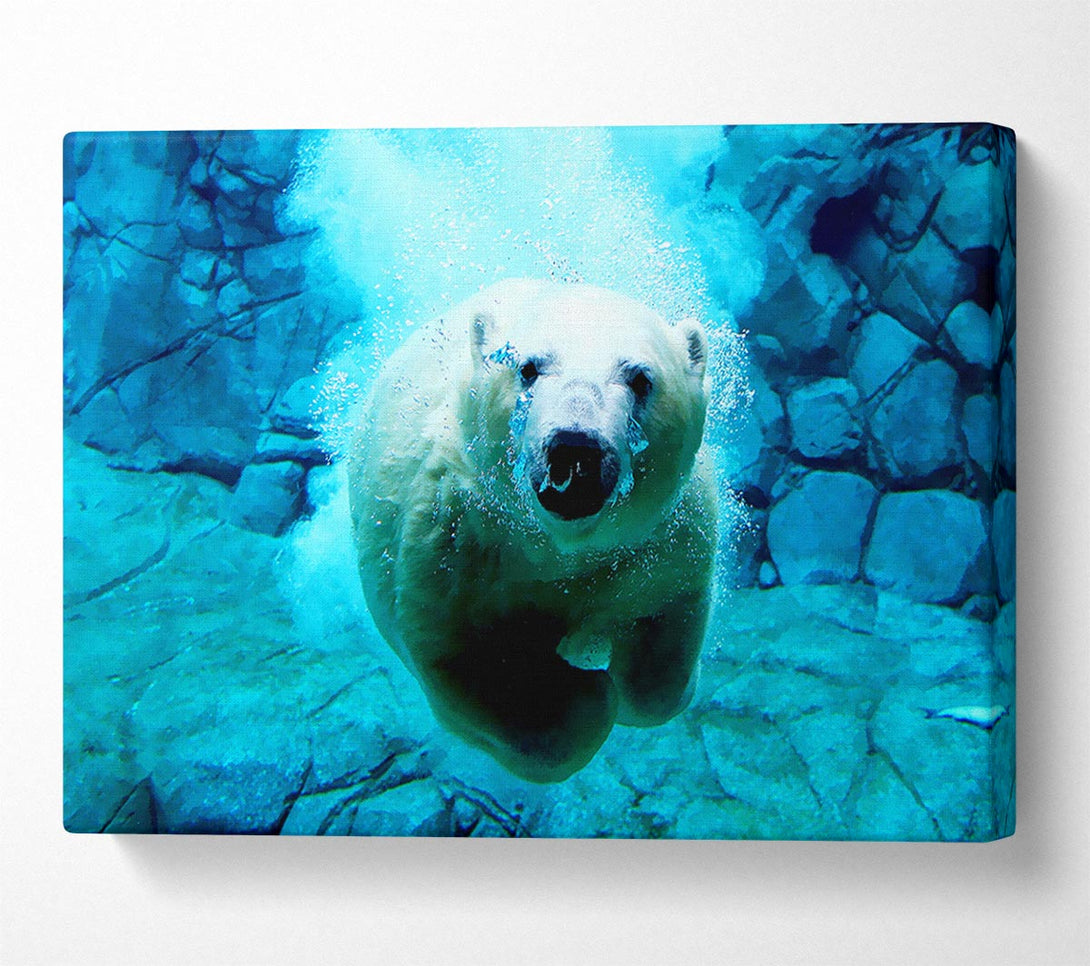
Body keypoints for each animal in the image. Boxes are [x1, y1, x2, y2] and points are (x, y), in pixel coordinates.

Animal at [348, 279, 717, 782]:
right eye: (528, 368)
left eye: (641, 378)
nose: (575, 448)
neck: (556, 546)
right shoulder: (453, 545)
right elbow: (469, 663)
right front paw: (583, 693)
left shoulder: (661, 540)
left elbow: (664, 631)